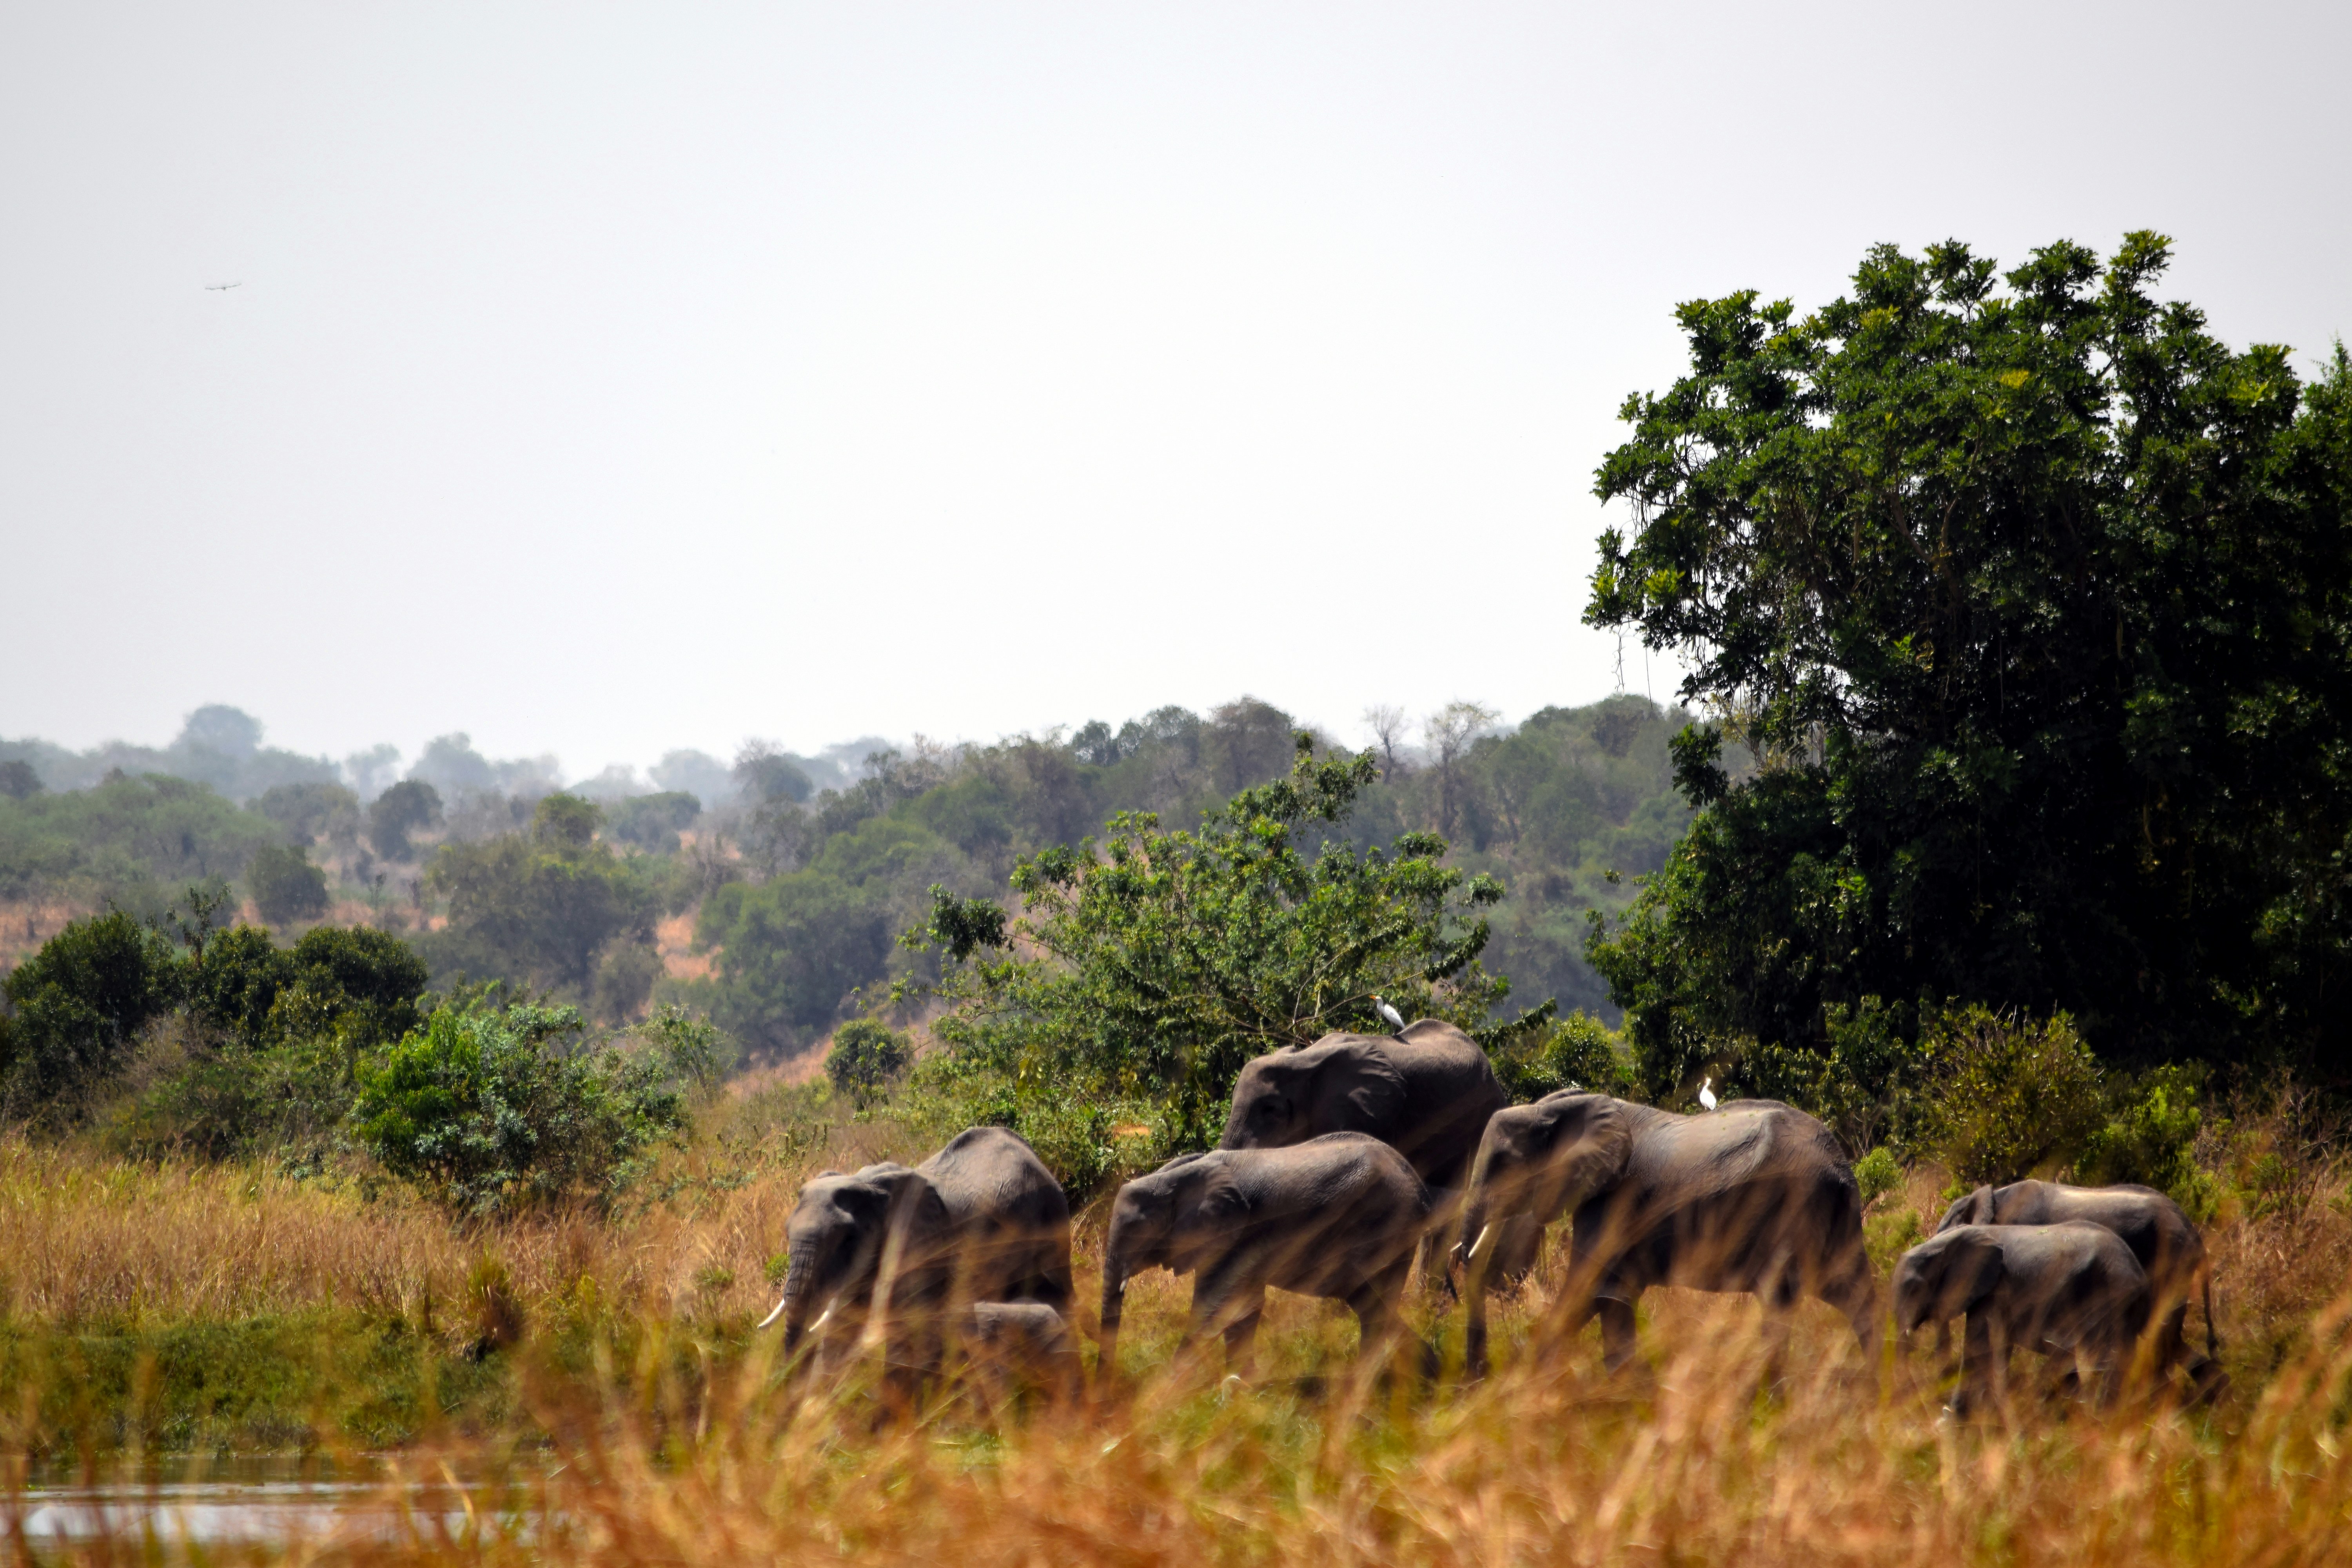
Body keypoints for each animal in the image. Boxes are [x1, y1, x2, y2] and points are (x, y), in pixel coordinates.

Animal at [1098, 1132, 1432, 1384]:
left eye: (1135, 1229)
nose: (1108, 1389)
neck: (1173, 1176)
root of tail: (1418, 1185)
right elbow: (1244, 1307)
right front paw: (1243, 1384)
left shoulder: (1236, 1235)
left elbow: (1215, 1308)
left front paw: (1162, 1392)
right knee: (1372, 1305)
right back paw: (1427, 1369)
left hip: (1388, 1224)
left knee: (1373, 1306)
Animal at [1454, 1093, 1876, 1376]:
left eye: (1502, 1163)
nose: (1479, 1374)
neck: (1553, 1107)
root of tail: (1840, 1164)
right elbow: (1611, 1298)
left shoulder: (1614, 1201)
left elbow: (1588, 1292)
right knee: (1855, 1295)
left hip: (1793, 1203)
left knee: (1781, 1300)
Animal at [1894, 1222, 2154, 1413]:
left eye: (1914, 1288)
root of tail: (2139, 1274)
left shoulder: (1995, 1292)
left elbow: (1979, 1347)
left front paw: (1951, 1417)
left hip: (2111, 1297)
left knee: (2101, 1359)